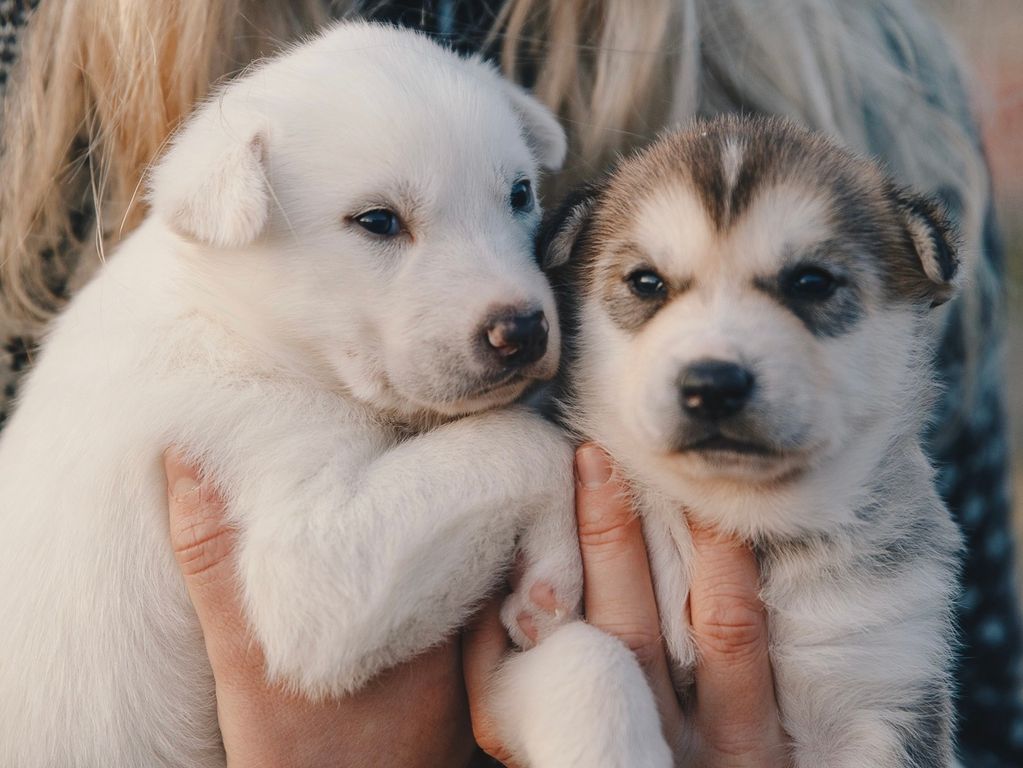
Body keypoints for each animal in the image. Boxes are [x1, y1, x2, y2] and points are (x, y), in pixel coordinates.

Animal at [0, 20, 662, 764]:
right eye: (376, 221)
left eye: (520, 193)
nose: (522, 330)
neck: (239, 325)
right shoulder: (300, 556)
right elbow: (523, 444)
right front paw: (558, 567)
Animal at [540, 115, 961, 768]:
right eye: (646, 282)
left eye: (811, 282)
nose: (711, 384)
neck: (740, 513)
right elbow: (589, 659)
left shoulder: (883, 677)